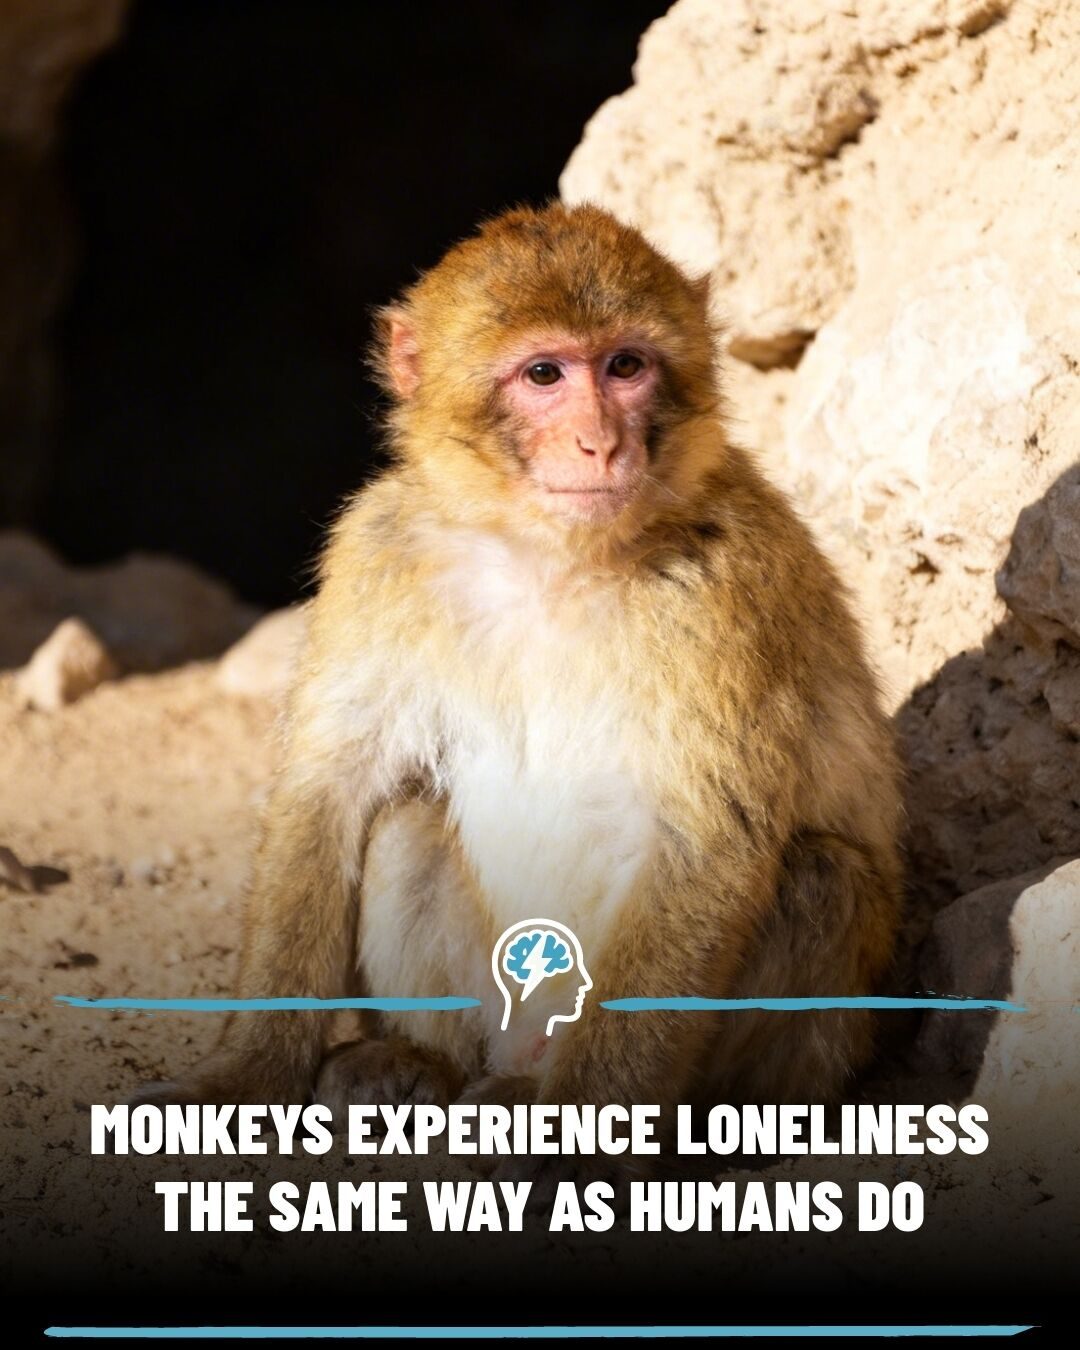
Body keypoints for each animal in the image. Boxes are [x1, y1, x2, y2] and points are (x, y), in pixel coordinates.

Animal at [136, 202, 902, 1152]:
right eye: (545, 373)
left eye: (625, 366)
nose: (600, 442)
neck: (551, 557)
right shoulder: (377, 551)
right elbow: (330, 793)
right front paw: (245, 1076)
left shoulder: (731, 588)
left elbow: (708, 840)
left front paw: (580, 1149)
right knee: (410, 822)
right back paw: (424, 1062)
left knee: (821, 880)